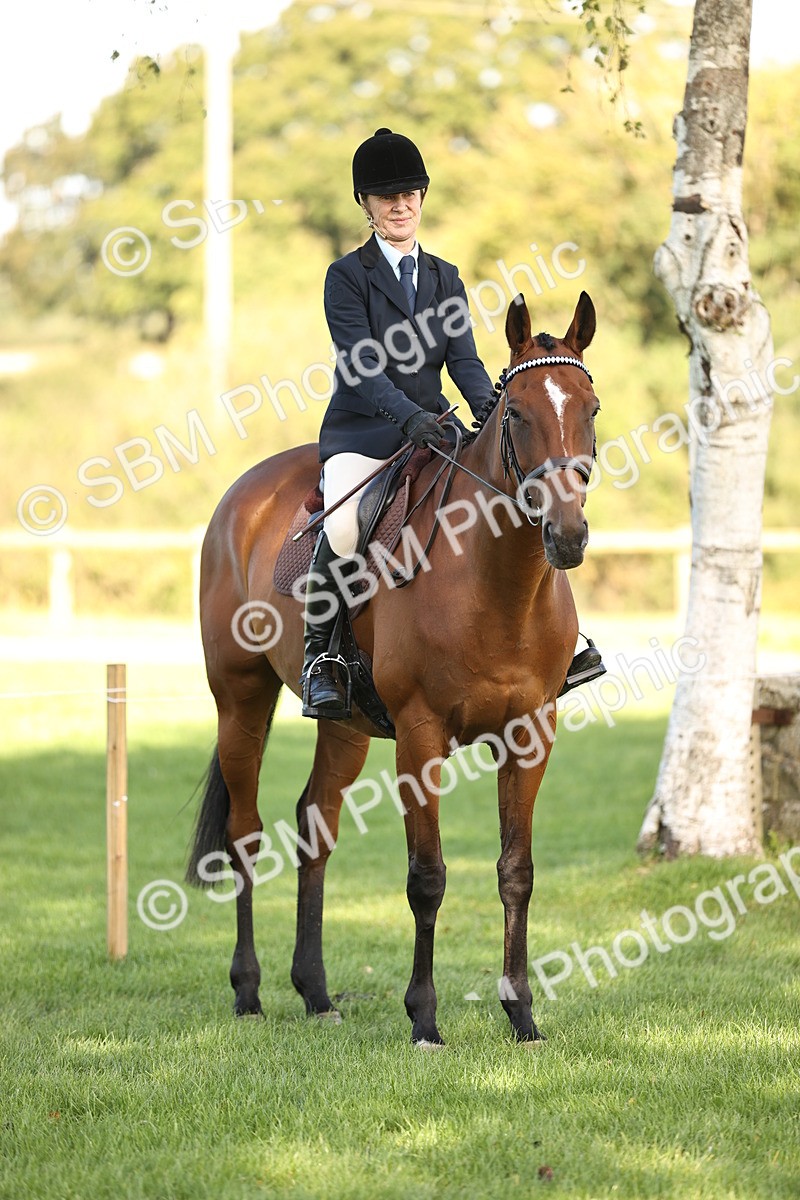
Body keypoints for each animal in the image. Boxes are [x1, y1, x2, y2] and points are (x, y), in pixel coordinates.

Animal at [187, 291, 600, 1045]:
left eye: (591, 409)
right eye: (518, 414)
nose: (568, 536)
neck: (496, 582)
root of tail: (244, 492)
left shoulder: (531, 732)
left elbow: (517, 871)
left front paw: (521, 1014)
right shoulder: (420, 733)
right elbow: (427, 878)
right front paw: (425, 1018)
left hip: (345, 722)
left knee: (315, 824)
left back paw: (316, 993)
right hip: (240, 698)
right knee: (245, 833)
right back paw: (249, 990)